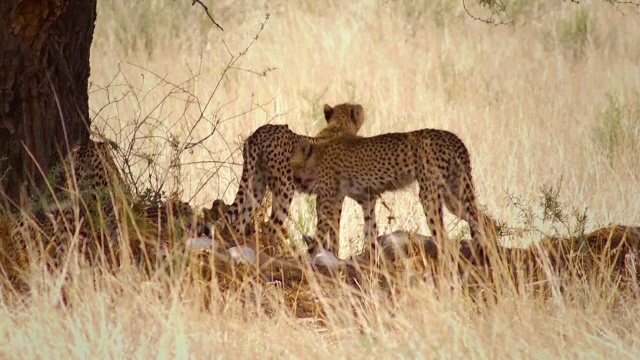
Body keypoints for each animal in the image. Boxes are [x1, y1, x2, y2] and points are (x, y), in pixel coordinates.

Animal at [212, 102, 364, 252]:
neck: (338, 126)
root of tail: (262, 131)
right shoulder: (334, 198)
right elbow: (334, 228)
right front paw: (333, 253)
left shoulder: (322, 197)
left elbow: (324, 223)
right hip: (286, 189)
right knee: (269, 228)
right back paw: (276, 253)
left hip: (256, 186)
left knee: (238, 223)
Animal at [288, 128, 496, 258]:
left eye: (292, 166)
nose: (294, 183)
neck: (317, 156)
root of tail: (451, 136)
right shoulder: (367, 199)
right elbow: (370, 232)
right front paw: (372, 262)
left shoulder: (330, 201)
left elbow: (319, 235)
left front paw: (306, 259)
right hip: (454, 195)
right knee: (485, 220)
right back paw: (487, 257)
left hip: (430, 194)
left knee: (443, 236)